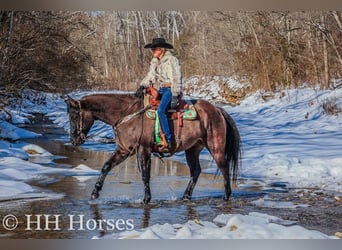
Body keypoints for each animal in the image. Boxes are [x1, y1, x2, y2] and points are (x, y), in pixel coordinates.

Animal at [65, 93, 240, 204]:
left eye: (74, 115)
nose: (73, 139)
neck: (127, 114)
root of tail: (217, 110)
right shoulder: (124, 150)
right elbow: (106, 166)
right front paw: (95, 193)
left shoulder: (144, 150)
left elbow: (145, 175)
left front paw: (146, 199)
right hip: (192, 149)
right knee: (195, 171)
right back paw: (186, 196)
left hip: (215, 147)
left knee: (224, 168)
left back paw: (226, 196)